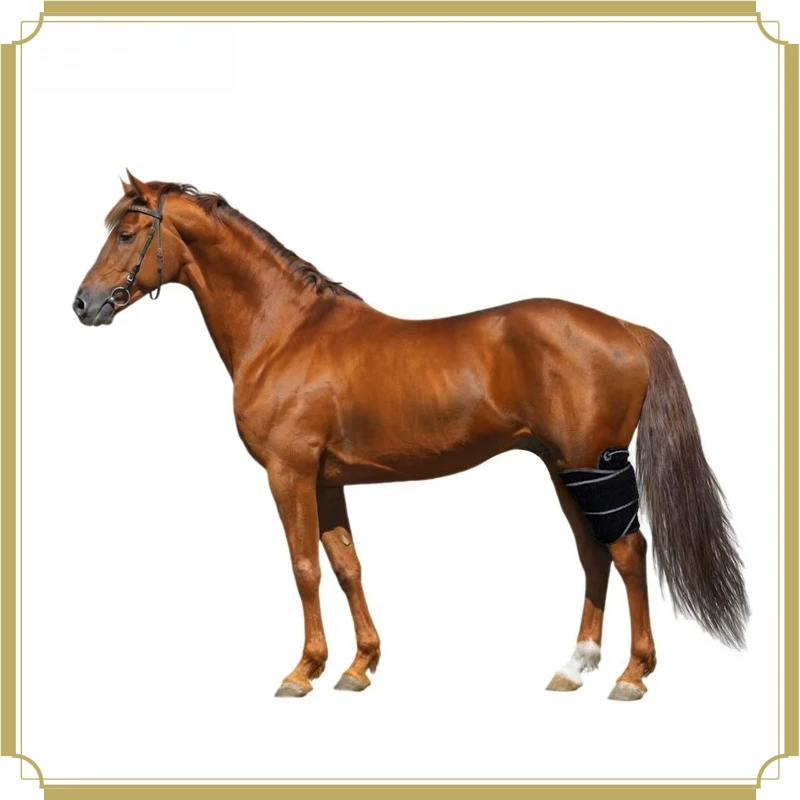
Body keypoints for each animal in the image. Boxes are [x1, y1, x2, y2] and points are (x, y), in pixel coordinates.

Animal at [72, 172, 750, 701]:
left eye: (126, 233)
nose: (83, 304)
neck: (285, 330)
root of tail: (628, 329)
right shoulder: (327, 480)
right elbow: (346, 566)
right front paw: (358, 666)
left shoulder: (289, 472)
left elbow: (304, 567)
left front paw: (303, 671)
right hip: (566, 469)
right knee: (594, 553)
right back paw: (573, 667)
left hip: (591, 463)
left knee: (628, 550)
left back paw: (632, 675)